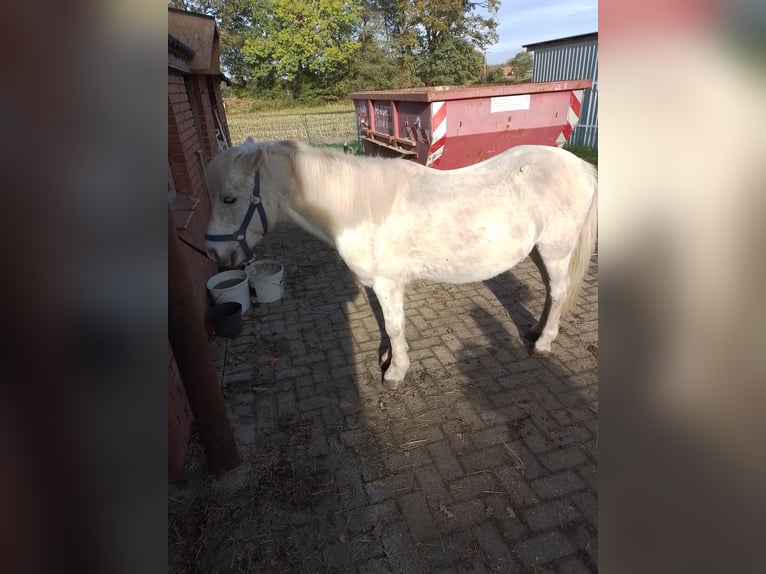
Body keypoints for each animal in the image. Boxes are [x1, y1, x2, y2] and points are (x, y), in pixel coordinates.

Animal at [208, 138, 600, 388]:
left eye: (229, 198)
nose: (214, 254)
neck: (360, 207)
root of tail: (580, 166)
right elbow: (389, 327)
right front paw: (391, 360)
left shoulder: (388, 283)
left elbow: (394, 327)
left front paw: (395, 372)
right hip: (539, 251)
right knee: (550, 292)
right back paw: (534, 330)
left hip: (556, 249)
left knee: (558, 292)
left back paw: (543, 343)